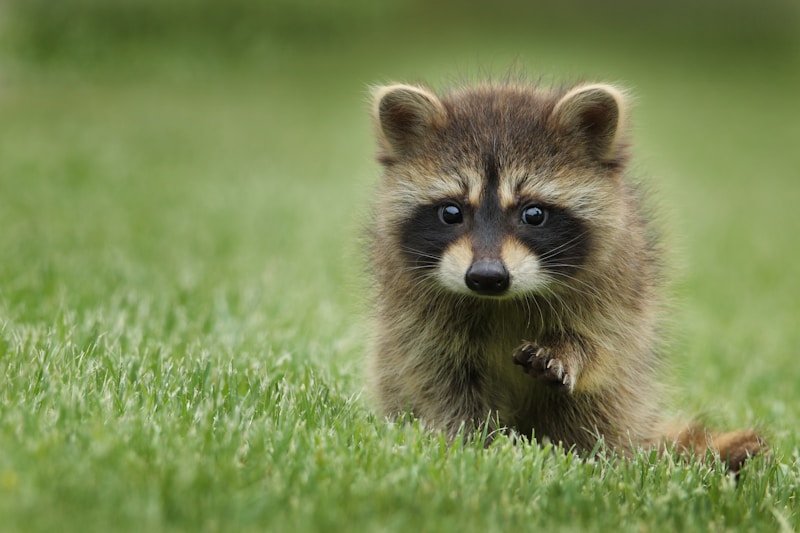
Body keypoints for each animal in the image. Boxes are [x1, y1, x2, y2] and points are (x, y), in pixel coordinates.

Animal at [366, 79, 764, 471]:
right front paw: (472, 443)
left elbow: (603, 343)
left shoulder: (619, 281)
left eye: (533, 214)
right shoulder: (415, 313)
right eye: (451, 212)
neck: (503, 301)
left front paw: (569, 350)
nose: (487, 277)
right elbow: (438, 378)